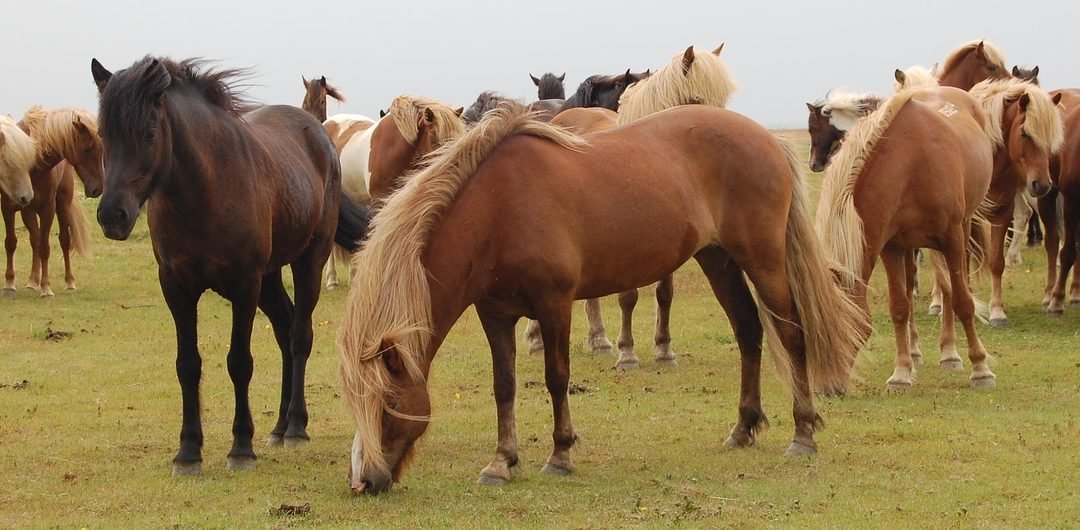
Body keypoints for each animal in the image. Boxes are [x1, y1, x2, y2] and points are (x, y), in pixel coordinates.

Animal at [2, 105, 104, 295]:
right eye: (87, 149)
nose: (97, 189)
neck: (32, 164)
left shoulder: (47, 209)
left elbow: (45, 248)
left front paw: (46, 288)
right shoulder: (8, 207)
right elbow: (11, 243)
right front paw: (9, 284)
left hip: (63, 207)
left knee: (64, 240)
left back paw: (69, 282)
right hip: (28, 211)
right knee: (34, 239)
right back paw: (33, 281)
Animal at [89, 55, 367, 477]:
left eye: (149, 132)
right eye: (103, 133)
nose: (112, 215)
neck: (205, 190)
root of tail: (318, 134)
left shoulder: (244, 285)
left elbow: (239, 362)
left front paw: (241, 447)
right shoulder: (176, 288)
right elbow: (187, 365)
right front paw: (188, 452)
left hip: (308, 261)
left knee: (299, 335)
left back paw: (295, 427)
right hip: (270, 278)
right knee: (284, 331)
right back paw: (279, 426)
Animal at [339, 103, 868, 494]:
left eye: (388, 401)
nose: (366, 481)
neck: (497, 209)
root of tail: (766, 138)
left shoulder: (555, 305)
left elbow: (556, 379)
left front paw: (560, 454)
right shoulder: (495, 315)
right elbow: (504, 386)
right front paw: (501, 461)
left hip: (763, 259)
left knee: (790, 332)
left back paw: (802, 434)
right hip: (717, 259)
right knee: (747, 329)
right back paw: (743, 428)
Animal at [816, 86, 1002, 390]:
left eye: (841, 327)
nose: (827, 388)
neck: (911, 165)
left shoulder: (951, 239)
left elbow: (962, 301)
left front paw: (981, 369)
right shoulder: (891, 247)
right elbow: (900, 307)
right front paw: (901, 373)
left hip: (960, 231)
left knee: (950, 289)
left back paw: (951, 355)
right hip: (910, 247)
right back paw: (915, 354)